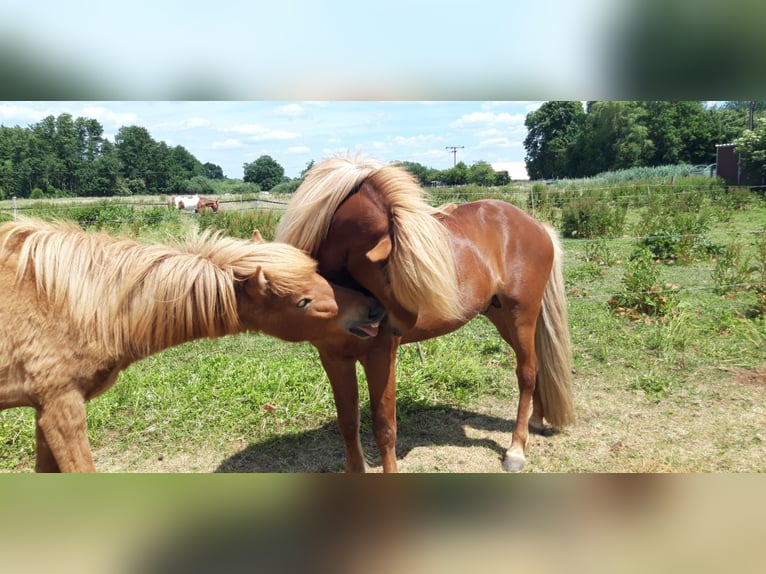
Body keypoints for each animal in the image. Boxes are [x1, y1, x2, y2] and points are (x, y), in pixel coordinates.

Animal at [0, 218, 384, 474]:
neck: (71, 304)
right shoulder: (61, 409)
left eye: (319, 274)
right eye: (303, 301)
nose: (374, 308)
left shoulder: (43, 412)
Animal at [276, 155, 576, 474]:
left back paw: (516, 448)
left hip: (521, 316)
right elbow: (348, 422)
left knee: (527, 372)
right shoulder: (333, 358)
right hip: (502, 317)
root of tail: (536, 225)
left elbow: (384, 428)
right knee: (537, 364)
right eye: (390, 268)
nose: (399, 323)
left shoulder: (381, 356)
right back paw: (537, 420)